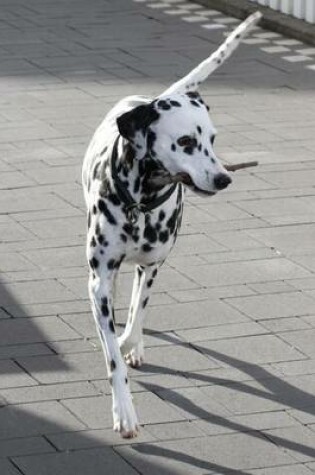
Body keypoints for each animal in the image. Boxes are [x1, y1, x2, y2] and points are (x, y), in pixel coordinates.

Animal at [82, 12, 262, 438]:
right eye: (185, 142)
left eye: (212, 138)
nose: (224, 179)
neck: (141, 203)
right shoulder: (99, 280)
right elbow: (111, 352)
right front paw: (124, 412)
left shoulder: (152, 266)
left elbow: (134, 320)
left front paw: (130, 344)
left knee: (136, 306)